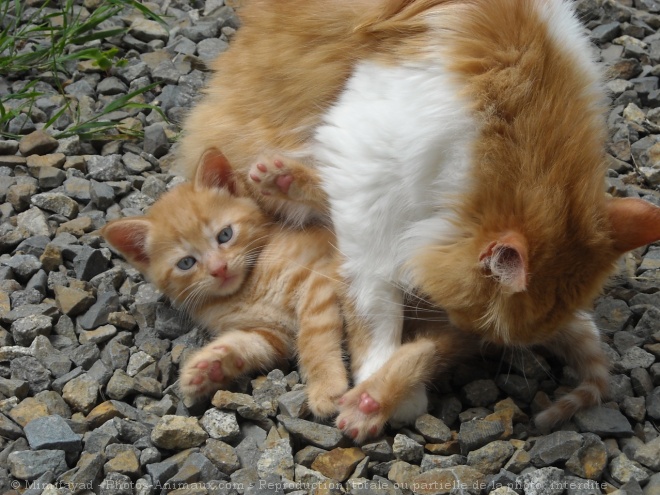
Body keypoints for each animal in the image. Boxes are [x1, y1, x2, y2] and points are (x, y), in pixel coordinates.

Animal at [100, 151, 348, 418]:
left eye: (225, 235)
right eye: (186, 262)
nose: (219, 268)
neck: (246, 289)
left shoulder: (317, 282)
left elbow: (315, 339)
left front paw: (326, 387)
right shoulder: (270, 333)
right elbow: (248, 344)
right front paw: (210, 367)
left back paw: (283, 177)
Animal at [175, 0, 660, 442]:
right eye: (471, 316)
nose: (467, 333)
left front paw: (380, 397)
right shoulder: (369, 191)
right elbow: (374, 315)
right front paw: (380, 388)